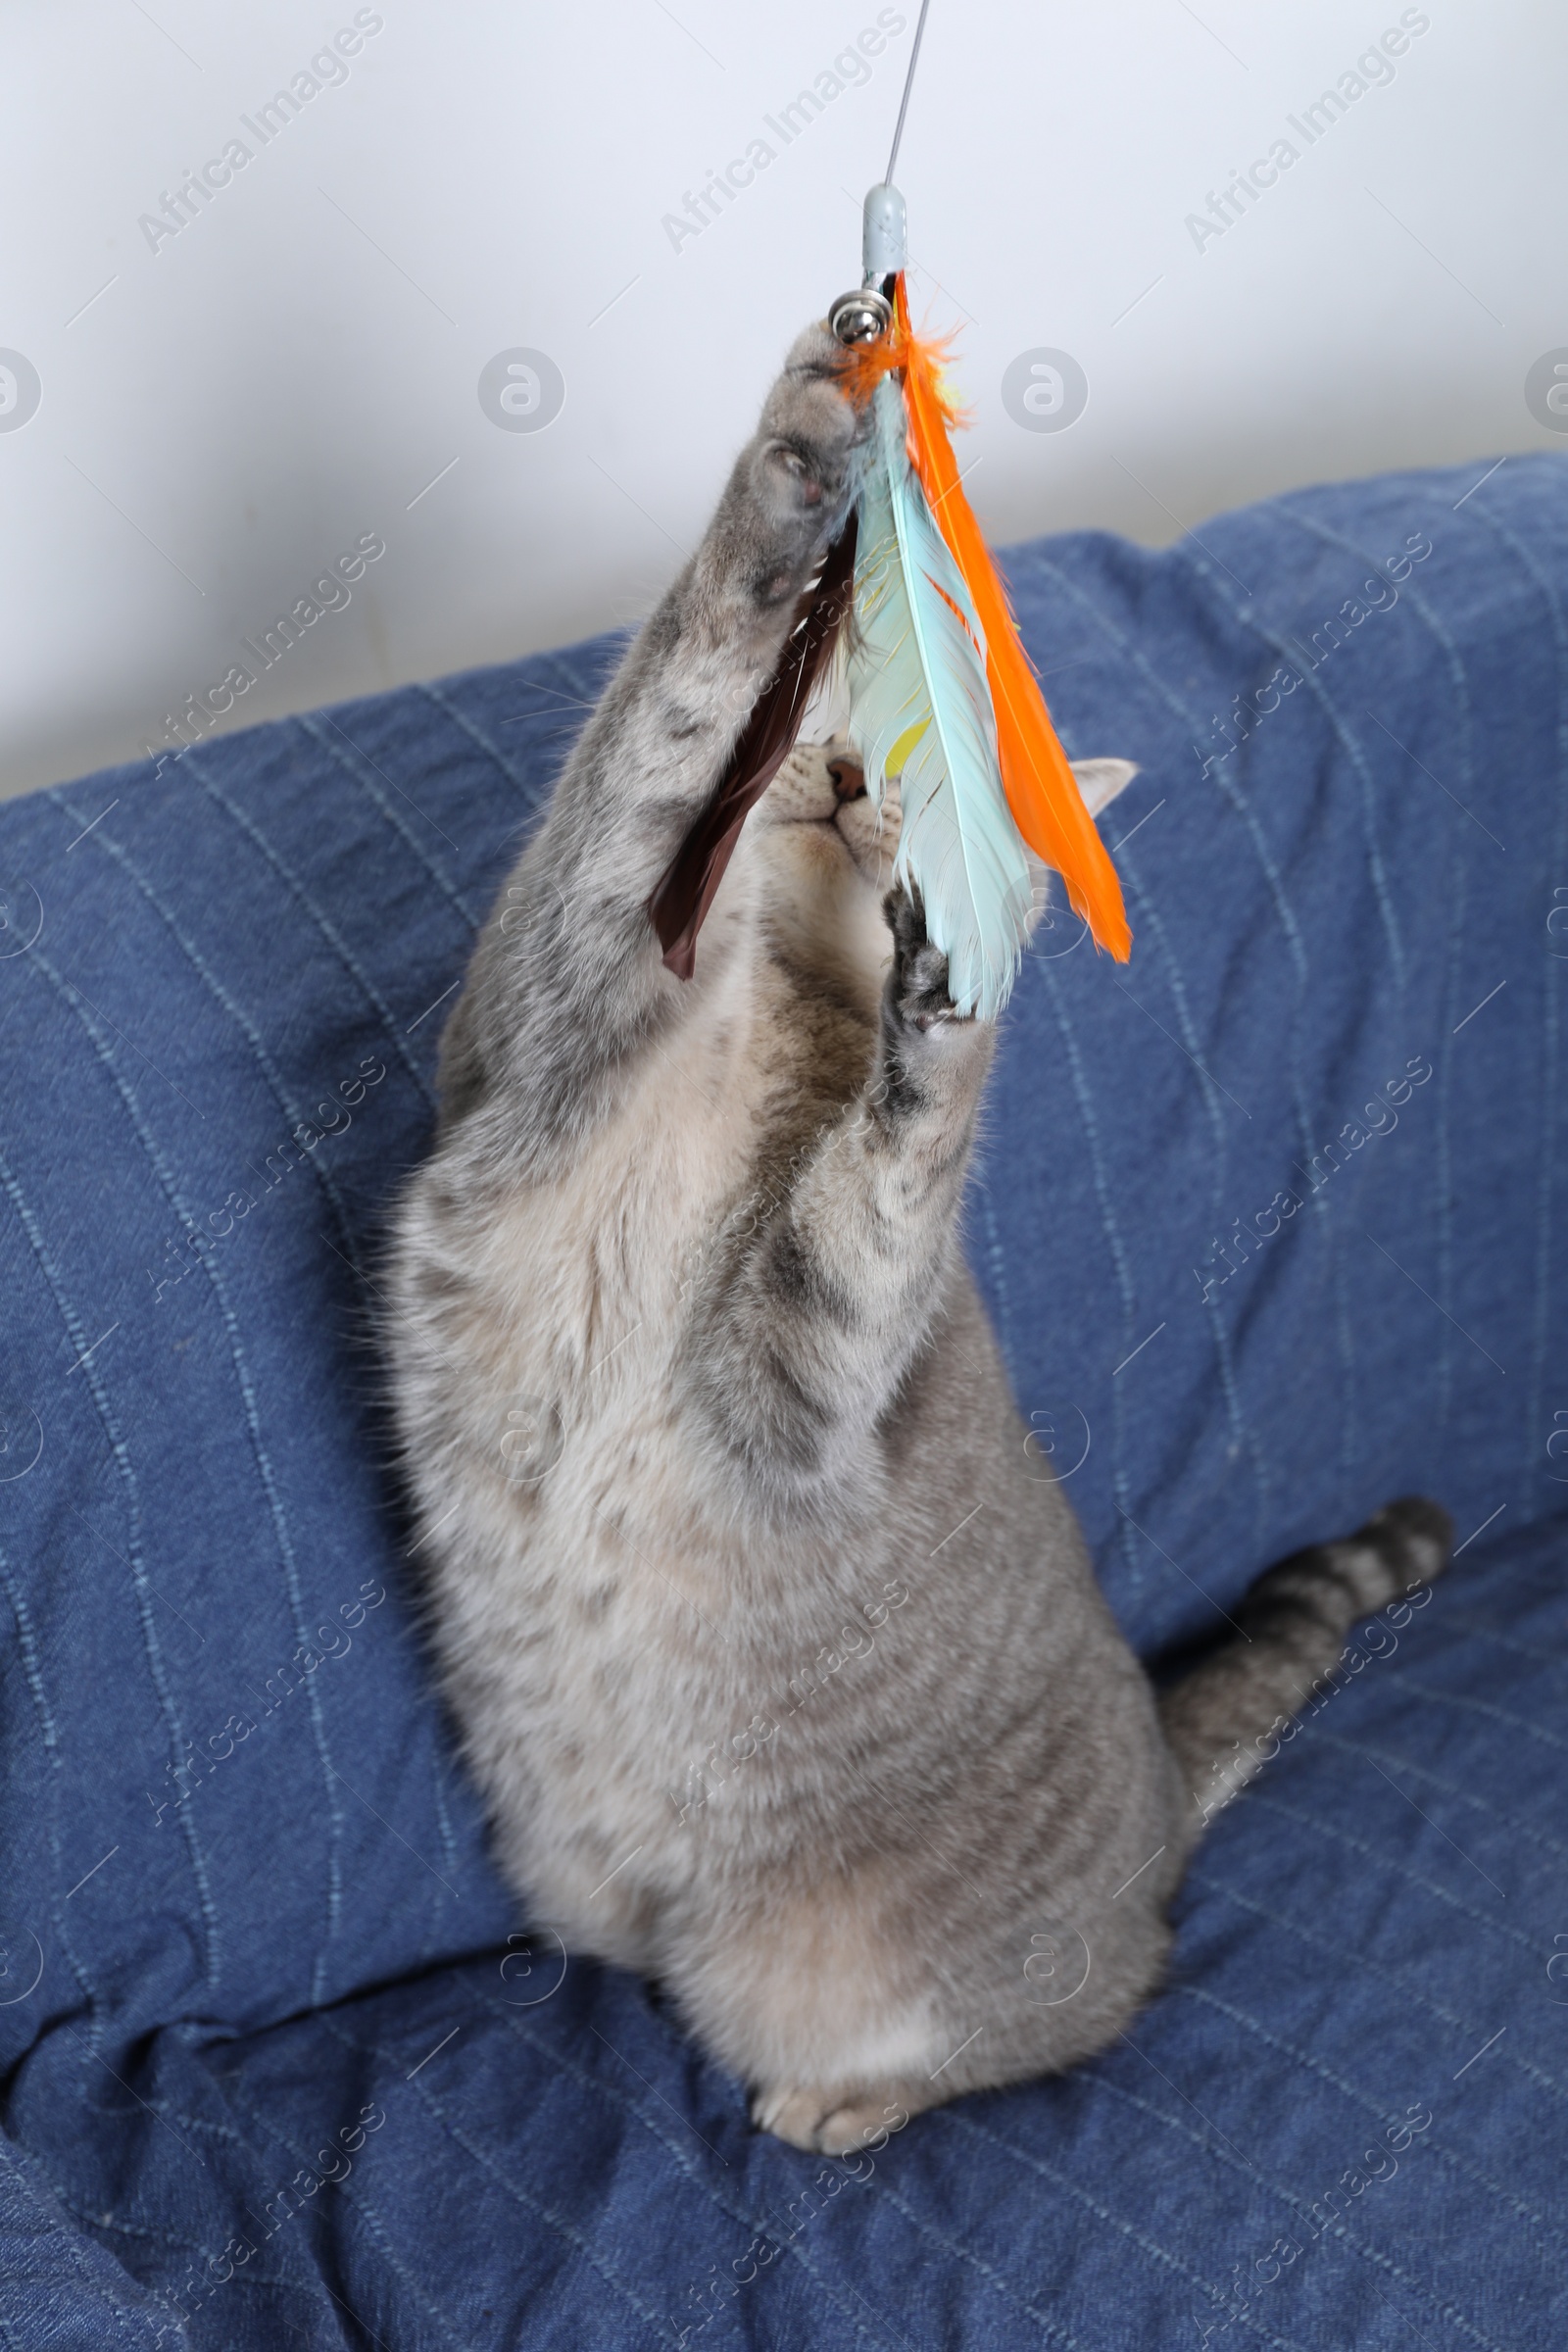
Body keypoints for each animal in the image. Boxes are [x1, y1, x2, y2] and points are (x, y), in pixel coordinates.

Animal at [383, 321, 1457, 2154]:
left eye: (920, 779)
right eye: (842, 711)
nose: (833, 779)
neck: (772, 995)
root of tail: (1163, 1804)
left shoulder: (801, 1373)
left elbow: (886, 1176)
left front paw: (945, 1011)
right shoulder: (545, 1023)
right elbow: (665, 733)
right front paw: (800, 458)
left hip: (869, 1986)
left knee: (1011, 2040)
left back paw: (838, 2106)